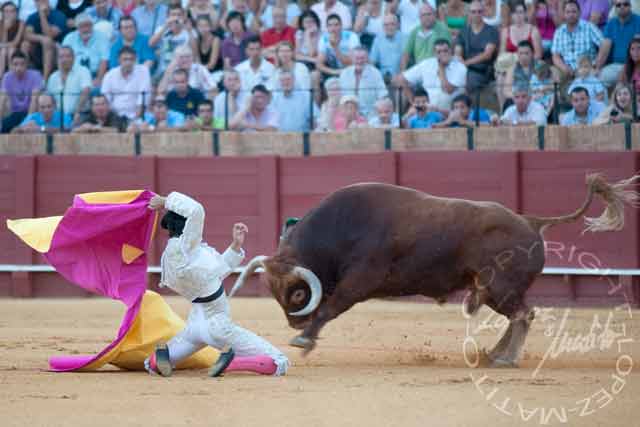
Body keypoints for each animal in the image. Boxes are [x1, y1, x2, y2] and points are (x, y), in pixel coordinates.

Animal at [228, 174, 636, 368]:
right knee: (521, 315)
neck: (340, 229)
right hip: (495, 290)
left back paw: (505, 358)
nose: (294, 322)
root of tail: (532, 222)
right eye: (273, 291)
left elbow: (331, 307)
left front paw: (304, 340)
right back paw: (494, 355)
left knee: (523, 314)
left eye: (297, 292)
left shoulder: (360, 280)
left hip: (501, 287)